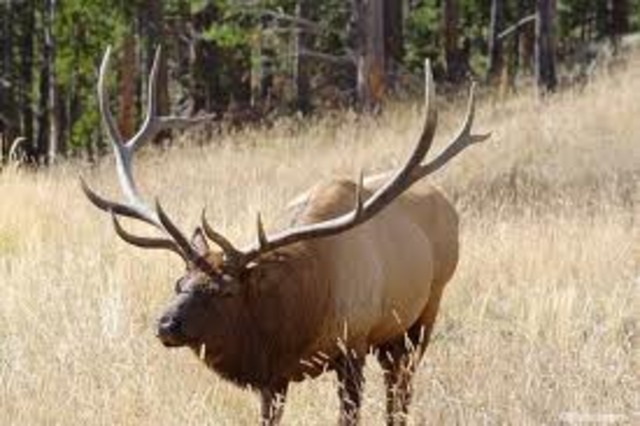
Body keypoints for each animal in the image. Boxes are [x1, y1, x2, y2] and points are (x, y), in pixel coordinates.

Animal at [81, 46, 489, 426]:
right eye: (179, 283)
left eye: (224, 291)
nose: (166, 325)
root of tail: (446, 201)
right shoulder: (272, 377)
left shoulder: (352, 342)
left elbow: (350, 415)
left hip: (423, 313)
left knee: (400, 392)